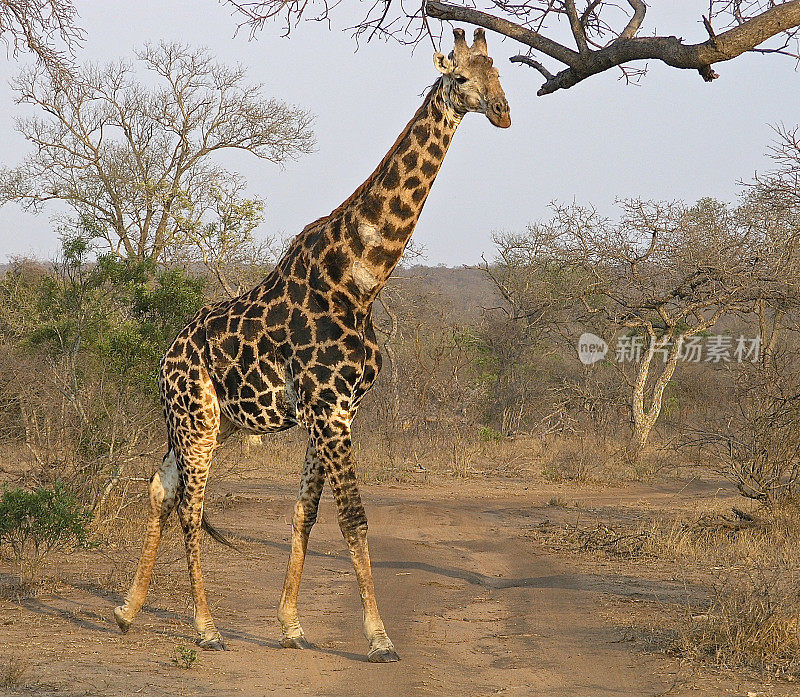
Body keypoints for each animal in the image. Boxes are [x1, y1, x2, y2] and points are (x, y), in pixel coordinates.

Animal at [113, 28, 510, 664]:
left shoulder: (336, 411)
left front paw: (292, 626)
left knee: (161, 489)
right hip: (197, 419)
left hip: (212, 422)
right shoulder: (329, 409)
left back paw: (128, 611)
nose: (502, 112)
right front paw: (379, 638)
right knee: (192, 506)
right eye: (460, 77)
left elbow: (306, 512)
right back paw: (206, 628)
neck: (361, 278)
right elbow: (353, 518)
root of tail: (164, 358)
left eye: (498, 74)